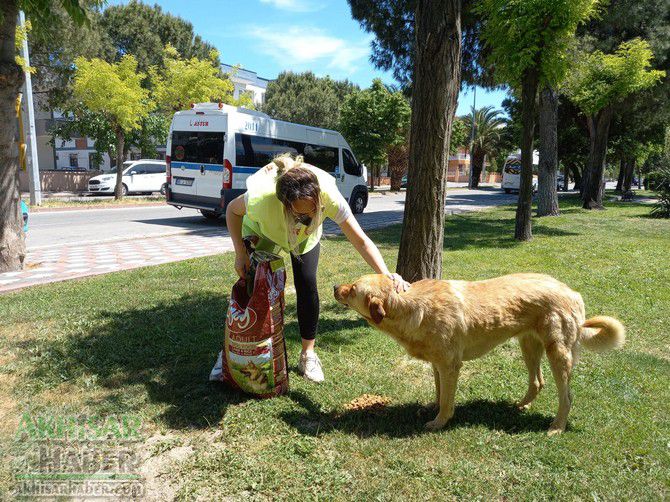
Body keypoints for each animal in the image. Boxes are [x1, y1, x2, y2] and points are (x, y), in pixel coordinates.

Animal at [334, 272, 628, 434]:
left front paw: (439, 422)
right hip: (529, 347)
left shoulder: (450, 366)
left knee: (566, 397)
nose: (335, 287)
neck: (410, 307)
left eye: (353, 289)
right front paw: (432, 408)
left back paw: (556, 427)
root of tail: (573, 292)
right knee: (537, 382)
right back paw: (520, 405)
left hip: (558, 354)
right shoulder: (438, 365)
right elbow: (439, 393)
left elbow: (447, 401)